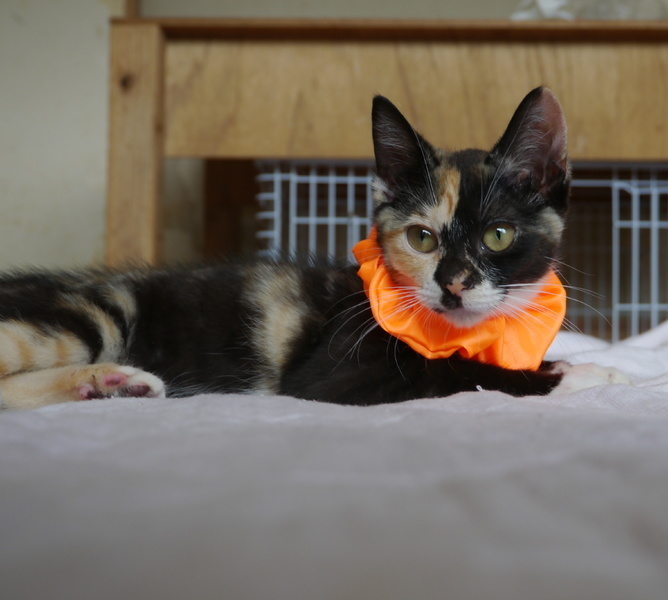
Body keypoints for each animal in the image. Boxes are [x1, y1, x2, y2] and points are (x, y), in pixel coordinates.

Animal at [0, 87, 627, 409]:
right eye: (421, 238)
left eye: (498, 235)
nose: (453, 284)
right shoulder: (332, 375)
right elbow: (454, 373)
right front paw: (588, 375)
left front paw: (568, 362)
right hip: (95, 311)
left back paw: (110, 383)